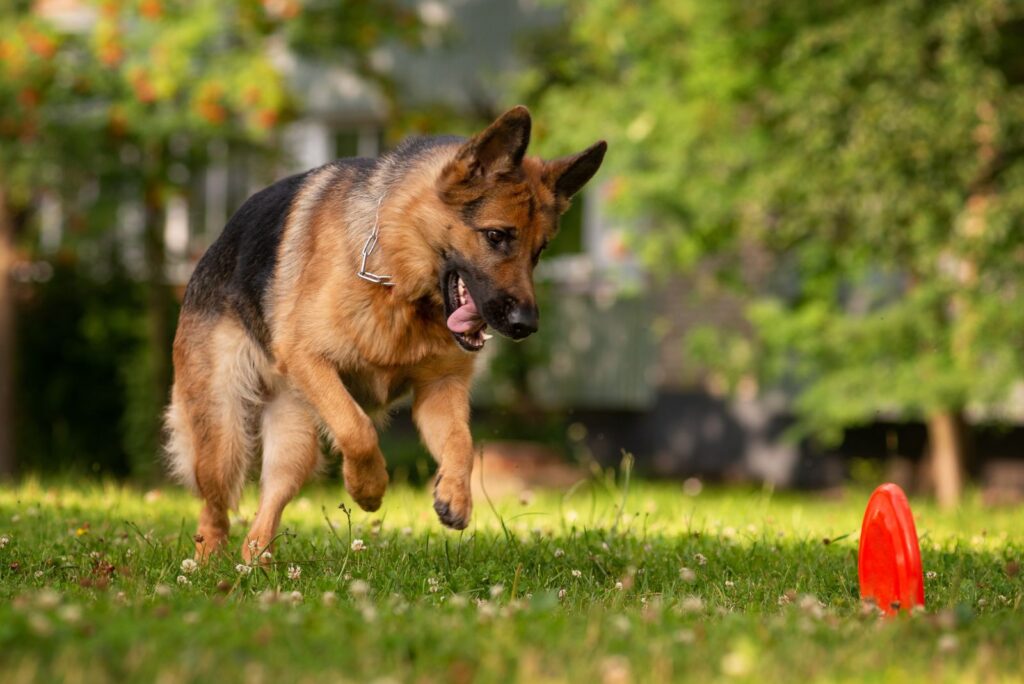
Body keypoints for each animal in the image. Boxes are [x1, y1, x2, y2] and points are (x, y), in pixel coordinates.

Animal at [163, 104, 602, 557]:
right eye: (496, 236)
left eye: (540, 251)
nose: (526, 326)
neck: (398, 274)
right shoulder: (310, 361)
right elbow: (357, 429)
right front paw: (368, 488)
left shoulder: (438, 392)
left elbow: (461, 442)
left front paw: (455, 495)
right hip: (224, 432)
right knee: (214, 505)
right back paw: (208, 560)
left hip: (294, 440)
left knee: (269, 503)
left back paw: (255, 561)